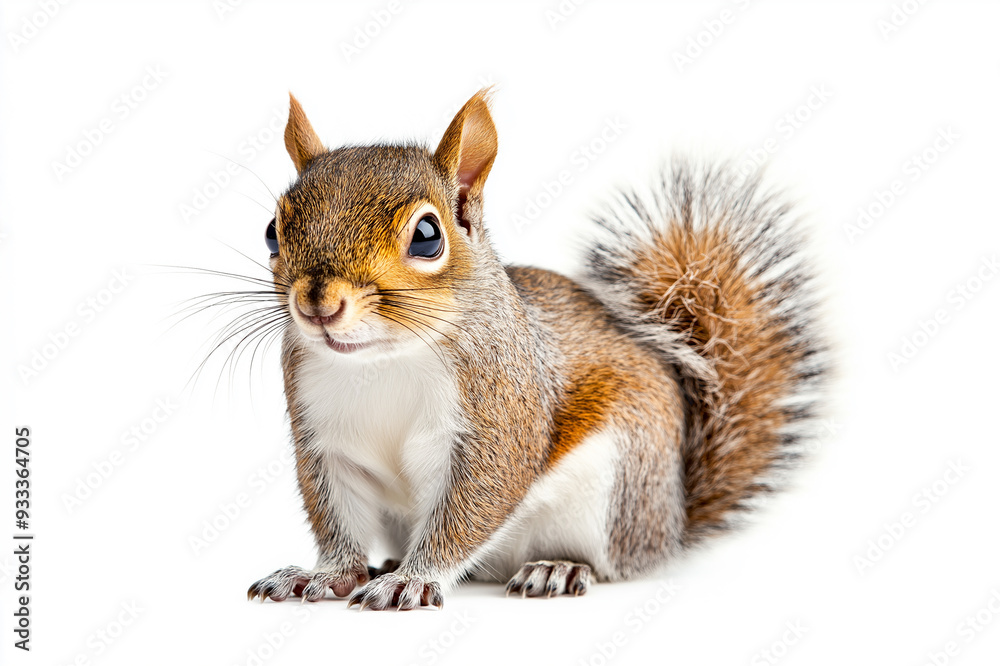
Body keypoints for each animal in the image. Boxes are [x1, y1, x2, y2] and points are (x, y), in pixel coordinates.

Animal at [244, 89, 828, 610]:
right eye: (272, 231)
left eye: (428, 236)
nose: (319, 303)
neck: (380, 359)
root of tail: (671, 522)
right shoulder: (326, 440)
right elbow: (336, 518)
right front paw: (328, 575)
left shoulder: (501, 416)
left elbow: (475, 503)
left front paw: (412, 579)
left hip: (616, 485)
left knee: (609, 563)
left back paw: (557, 569)